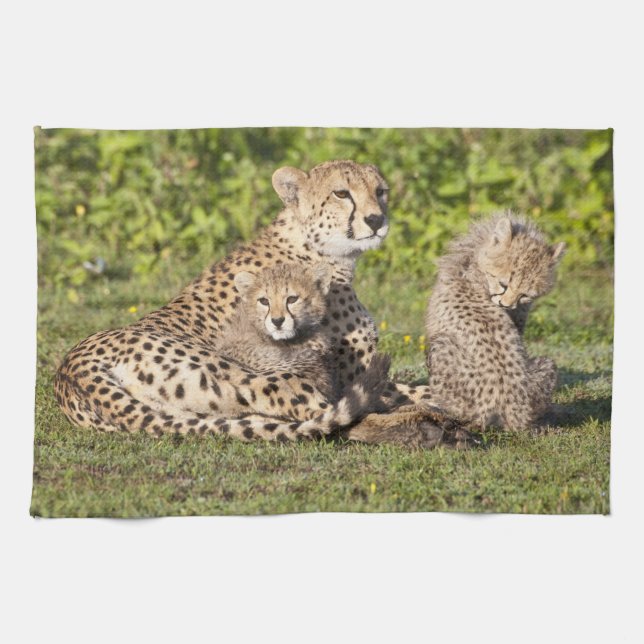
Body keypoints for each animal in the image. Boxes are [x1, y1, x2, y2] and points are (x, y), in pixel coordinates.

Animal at [55, 160, 456, 447]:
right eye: (342, 193)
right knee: (329, 418)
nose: (376, 219)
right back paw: (431, 429)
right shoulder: (340, 372)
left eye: (381, 191)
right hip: (248, 374)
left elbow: (421, 385)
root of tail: (71, 370)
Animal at [424, 212, 566, 430]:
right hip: (546, 364)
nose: (506, 305)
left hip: (441, 345)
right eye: (503, 284)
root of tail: (511, 410)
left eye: (525, 294)